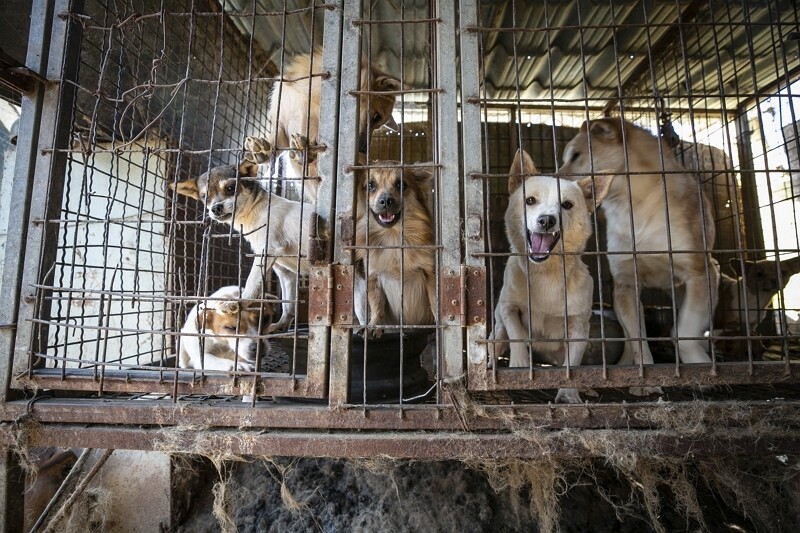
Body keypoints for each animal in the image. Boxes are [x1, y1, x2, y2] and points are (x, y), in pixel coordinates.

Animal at [170, 160, 318, 330]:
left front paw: (238, 303)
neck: (255, 211)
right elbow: (288, 305)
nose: (216, 208)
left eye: (230, 188)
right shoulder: (285, 273)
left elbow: (251, 284)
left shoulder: (266, 253)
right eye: (204, 197)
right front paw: (280, 326)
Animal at [245, 47, 400, 203]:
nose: (363, 151)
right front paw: (262, 150)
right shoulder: (283, 123)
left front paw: (307, 149)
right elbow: (274, 142)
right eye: (376, 117)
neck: (310, 97)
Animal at [354, 161, 438, 336]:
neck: (392, 235)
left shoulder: (430, 273)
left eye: (401, 185)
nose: (386, 200)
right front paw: (374, 325)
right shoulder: (373, 277)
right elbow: (377, 306)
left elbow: (435, 301)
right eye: (370, 185)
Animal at [488, 148, 612, 402]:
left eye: (567, 204)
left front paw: (569, 393)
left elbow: (572, 365)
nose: (546, 220)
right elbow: (517, 335)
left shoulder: (578, 328)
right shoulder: (508, 308)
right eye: (530, 201)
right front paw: (519, 365)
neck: (545, 273)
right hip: (496, 331)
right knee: (498, 341)